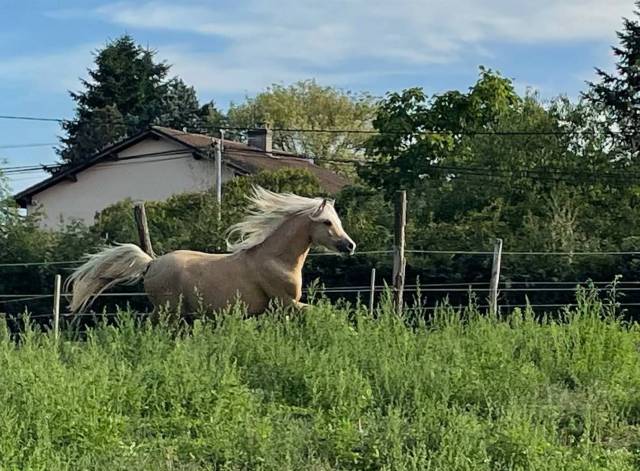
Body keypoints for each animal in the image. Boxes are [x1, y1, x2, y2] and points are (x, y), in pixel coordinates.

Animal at [65, 186, 356, 315]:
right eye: (327, 222)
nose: (350, 246)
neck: (275, 259)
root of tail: (152, 262)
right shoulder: (286, 302)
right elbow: (327, 314)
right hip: (169, 312)